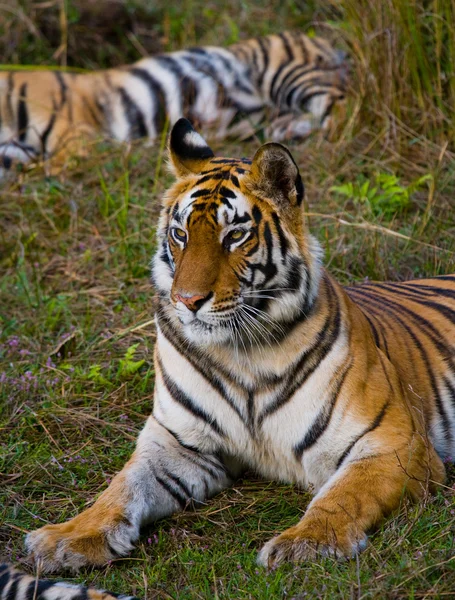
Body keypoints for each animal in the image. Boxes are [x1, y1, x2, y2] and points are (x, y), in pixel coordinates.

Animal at [1, 118, 454, 600]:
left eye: (235, 235)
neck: (242, 354)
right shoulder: (179, 443)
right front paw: (66, 537)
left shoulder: (394, 443)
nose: (187, 300)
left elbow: (343, 495)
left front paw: (305, 544)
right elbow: (120, 488)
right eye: (180, 234)